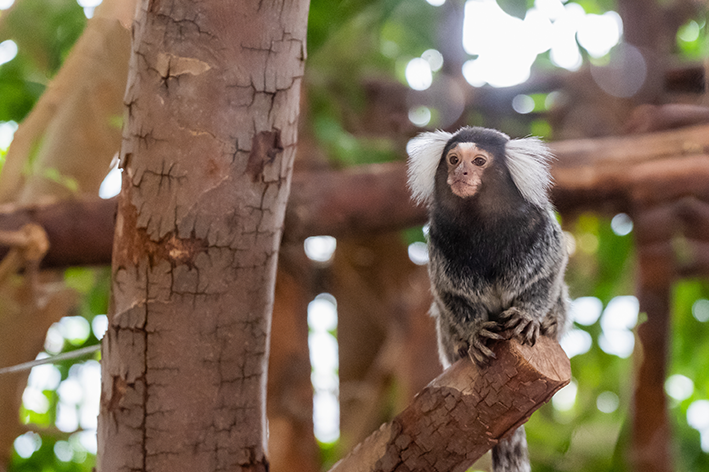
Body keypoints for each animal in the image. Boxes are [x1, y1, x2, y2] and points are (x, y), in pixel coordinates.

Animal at [404, 125, 568, 472]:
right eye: (453, 159)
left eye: (479, 161)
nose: (460, 172)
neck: (481, 223)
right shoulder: (438, 238)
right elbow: (449, 293)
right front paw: (475, 333)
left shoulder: (539, 228)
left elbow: (549, 272)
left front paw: (529, 316)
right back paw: (460, 346)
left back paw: (549, 323)